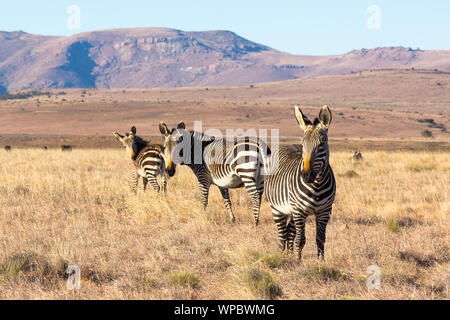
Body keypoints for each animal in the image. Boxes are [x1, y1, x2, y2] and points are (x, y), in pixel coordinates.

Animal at [266, 106, 336, 262]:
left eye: (321, 144)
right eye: (302, 144)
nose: (306, 175)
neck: (316, 186)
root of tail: (285, 146)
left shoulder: (325, 211)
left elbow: (320, 238)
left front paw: (321, 261)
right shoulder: (299, 211)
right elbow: (301, 239)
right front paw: (298, 262)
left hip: (292, 211)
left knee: (289, 232)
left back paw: (289, 254)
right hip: (278, 208)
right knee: (282, 235)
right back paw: (282, 256)